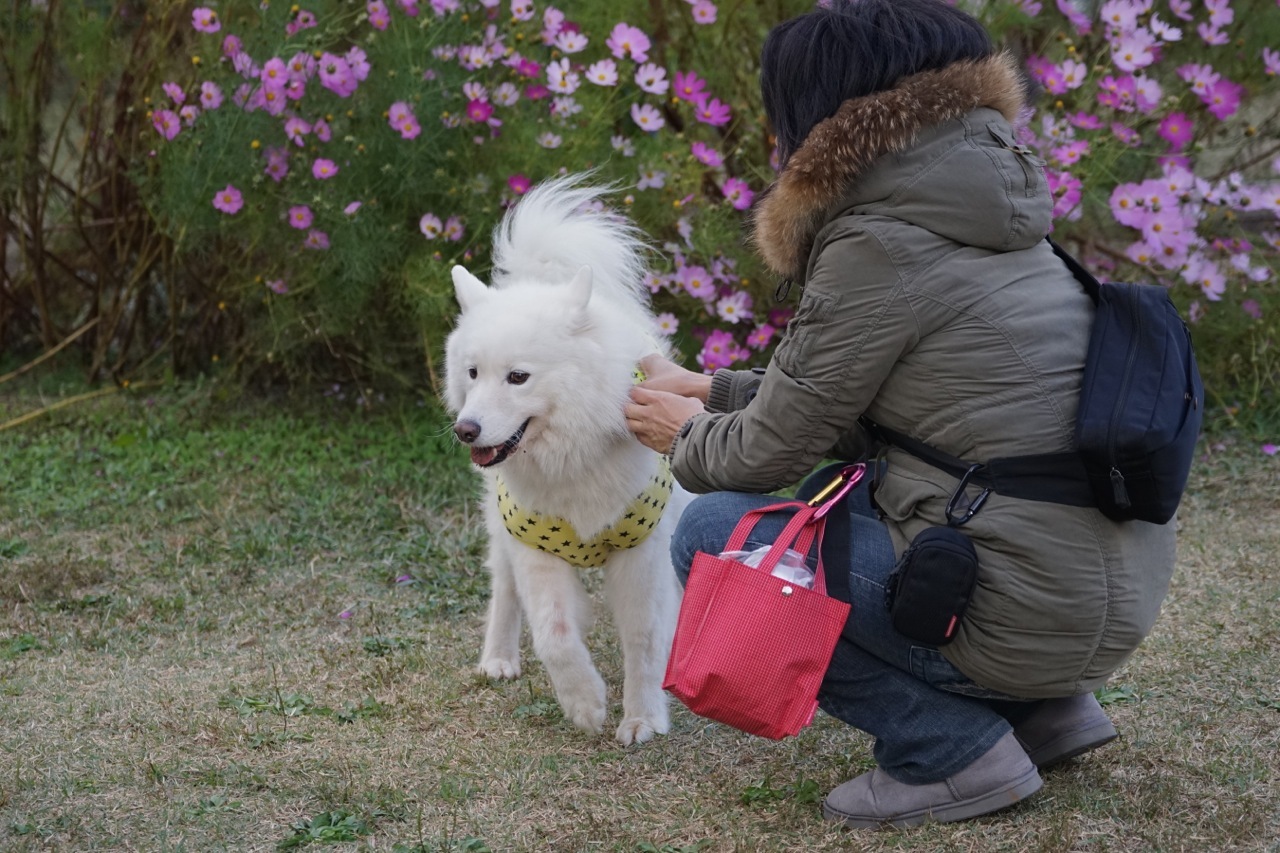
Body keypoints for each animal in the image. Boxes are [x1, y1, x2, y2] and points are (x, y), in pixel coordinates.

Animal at [448, 174, 691, 742]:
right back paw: (498, 657)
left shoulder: (643, 555)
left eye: (518, 377)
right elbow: (554, 634)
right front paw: (585, 703)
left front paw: (643, 716)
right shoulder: (535, 549)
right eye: (473, 372)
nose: (466, 430)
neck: (572, 458)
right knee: (504, 591)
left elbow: (645, 638)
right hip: (500, 531)